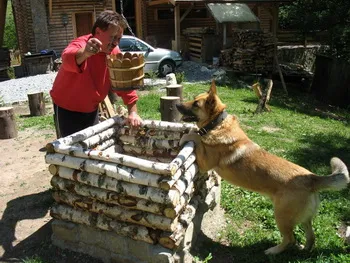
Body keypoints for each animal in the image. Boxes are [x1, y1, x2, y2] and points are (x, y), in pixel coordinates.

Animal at [176, 81, 348, 256]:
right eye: (194, 99)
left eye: (196, 104)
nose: (177, 105)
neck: (216, 124)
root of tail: (312, 178)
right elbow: (195, 132)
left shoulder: (205, 162)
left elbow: (196, 136)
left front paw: (187, 136)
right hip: (303, 219)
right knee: (311, 236)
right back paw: (304, 250)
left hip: (281, 216)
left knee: (290, 239)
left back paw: (273, 251)